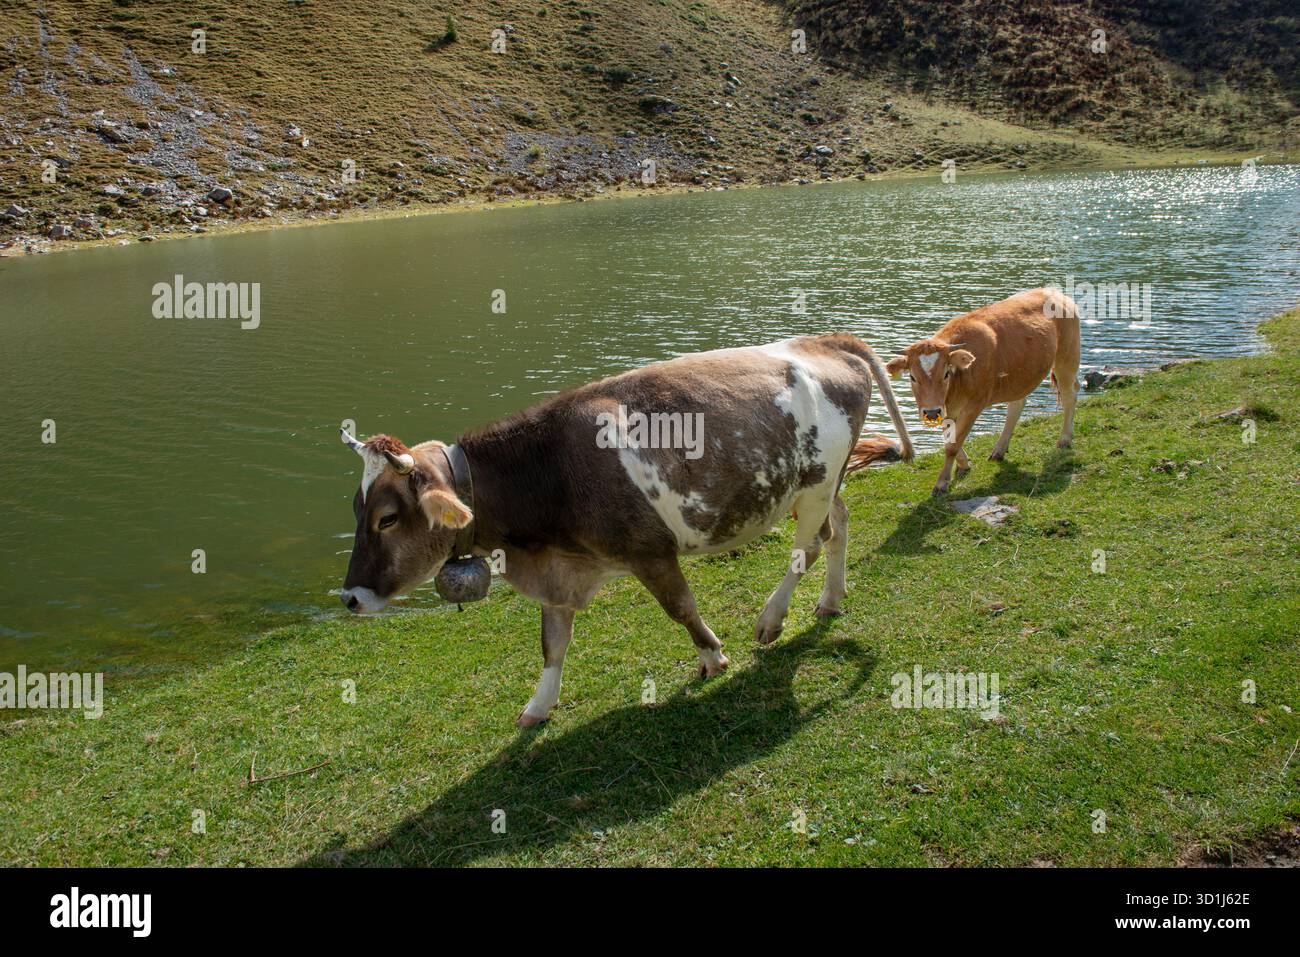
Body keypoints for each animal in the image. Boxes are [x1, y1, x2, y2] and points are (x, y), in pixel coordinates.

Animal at [339, 334, 914, 727]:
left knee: (809, 547)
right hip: (816, 486)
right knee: (839, 527)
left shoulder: (649, 550)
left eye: (387, 517)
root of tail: (823, 341)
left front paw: (713, 657)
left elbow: (681, 608)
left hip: (816, 484)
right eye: (356, 508)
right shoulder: (561, 571)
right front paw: (538, 705)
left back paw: (772, 619)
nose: (349, 598)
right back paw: (831, 599)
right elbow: (552, 643)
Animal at [873, 288, 1081, 496]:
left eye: (946, 373)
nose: (931, 412)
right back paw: (999, 450)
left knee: (1069, 396)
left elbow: (952, 445)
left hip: (1067, 359)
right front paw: (963, 464)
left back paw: (1064, 440)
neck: (955, 386)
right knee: (1017, 404)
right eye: (912, 377)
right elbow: (949, 436)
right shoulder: (943, 408)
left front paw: (942, 482)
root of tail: (1051, 290)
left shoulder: (973, 405)